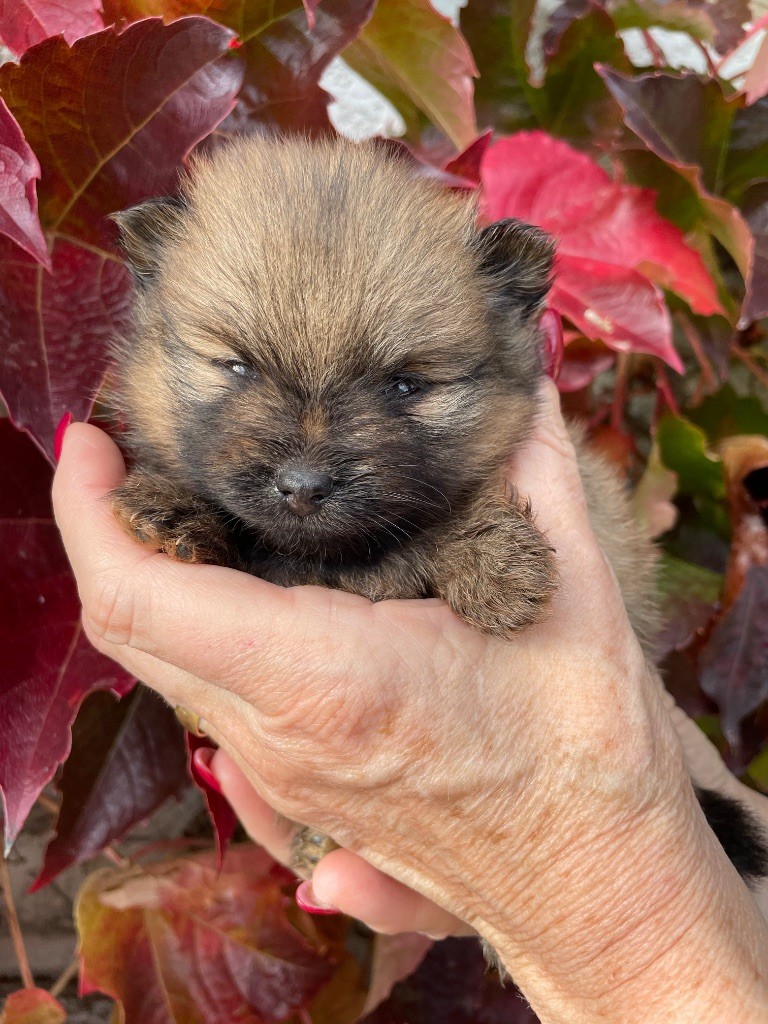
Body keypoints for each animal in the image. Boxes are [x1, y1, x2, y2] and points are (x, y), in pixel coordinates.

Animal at [109, 134, 768, 942]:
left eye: (403, 386)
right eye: (235, 366)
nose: (303, 484)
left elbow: (462, 510)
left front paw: (496, 567)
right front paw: (171, 509)